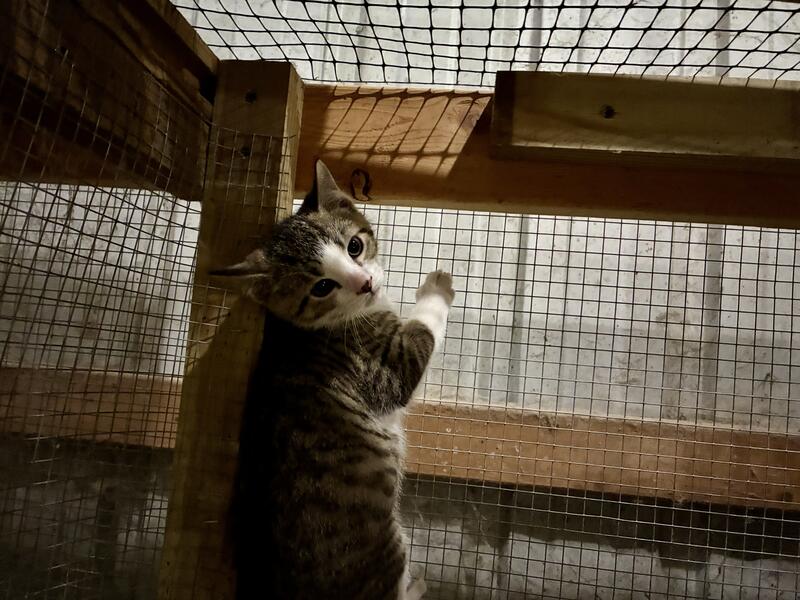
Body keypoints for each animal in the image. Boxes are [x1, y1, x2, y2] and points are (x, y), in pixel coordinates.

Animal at [213, 160, 454, 600]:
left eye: (354, 246)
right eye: (323, 286)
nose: (366, 283)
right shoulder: (383, 367)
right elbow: (420, 334)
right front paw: (436, 289)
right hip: (386, 548)